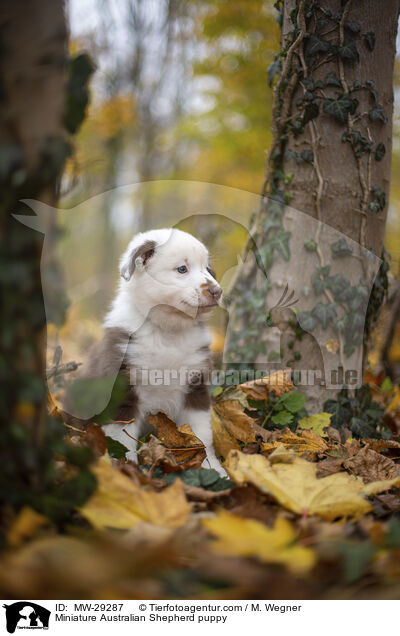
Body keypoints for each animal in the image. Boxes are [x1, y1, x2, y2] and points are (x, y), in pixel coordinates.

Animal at [64, 229, 223, 472]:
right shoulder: (122, 386)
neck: (167, 331)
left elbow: (200, 433)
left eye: (207, 268)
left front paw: (212, 467)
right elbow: (121, 437)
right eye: (182, 269)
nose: (217, 291)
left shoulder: (195, 385)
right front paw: (126, 470)